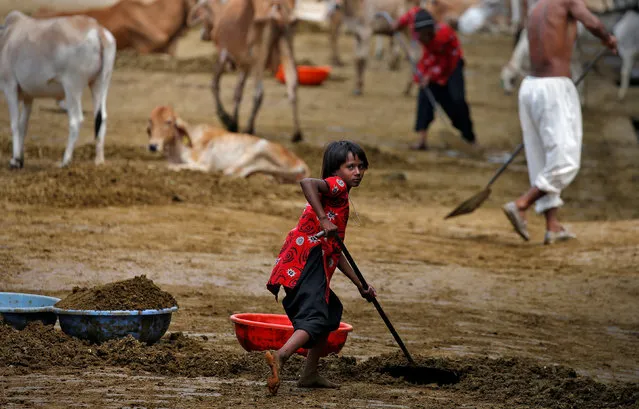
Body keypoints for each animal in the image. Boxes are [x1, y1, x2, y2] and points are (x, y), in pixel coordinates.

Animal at [0, 11, 117, 167]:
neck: (7, 36)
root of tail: (97, 29)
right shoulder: (28, 97)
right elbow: (22, 125)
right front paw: (20, 159)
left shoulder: (10, 86)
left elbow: (14, 124)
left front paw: (15, 161)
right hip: (99, 84)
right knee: (101, 117)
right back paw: (98, 160)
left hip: (72, 87)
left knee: (76, 120)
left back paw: (65, 161)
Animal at [148, 105, 312, 183]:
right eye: (150, 122)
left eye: (169, 122)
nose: (152, 146)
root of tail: (302, 163)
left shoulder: (203, 164)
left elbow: (174, 166)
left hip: (261, 145)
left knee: (235, 170)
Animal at [186, 0, 304, 142]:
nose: (202, 35)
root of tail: (277, 7)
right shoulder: (244, 65)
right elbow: (238, 93)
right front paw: (233, 122)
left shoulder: (223, 54)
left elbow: (214, 84)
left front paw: (226, 119)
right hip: (286, 47)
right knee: (292, 85)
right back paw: (297, 133)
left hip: (259, 57)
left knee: (259, 92)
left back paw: (249, 128)